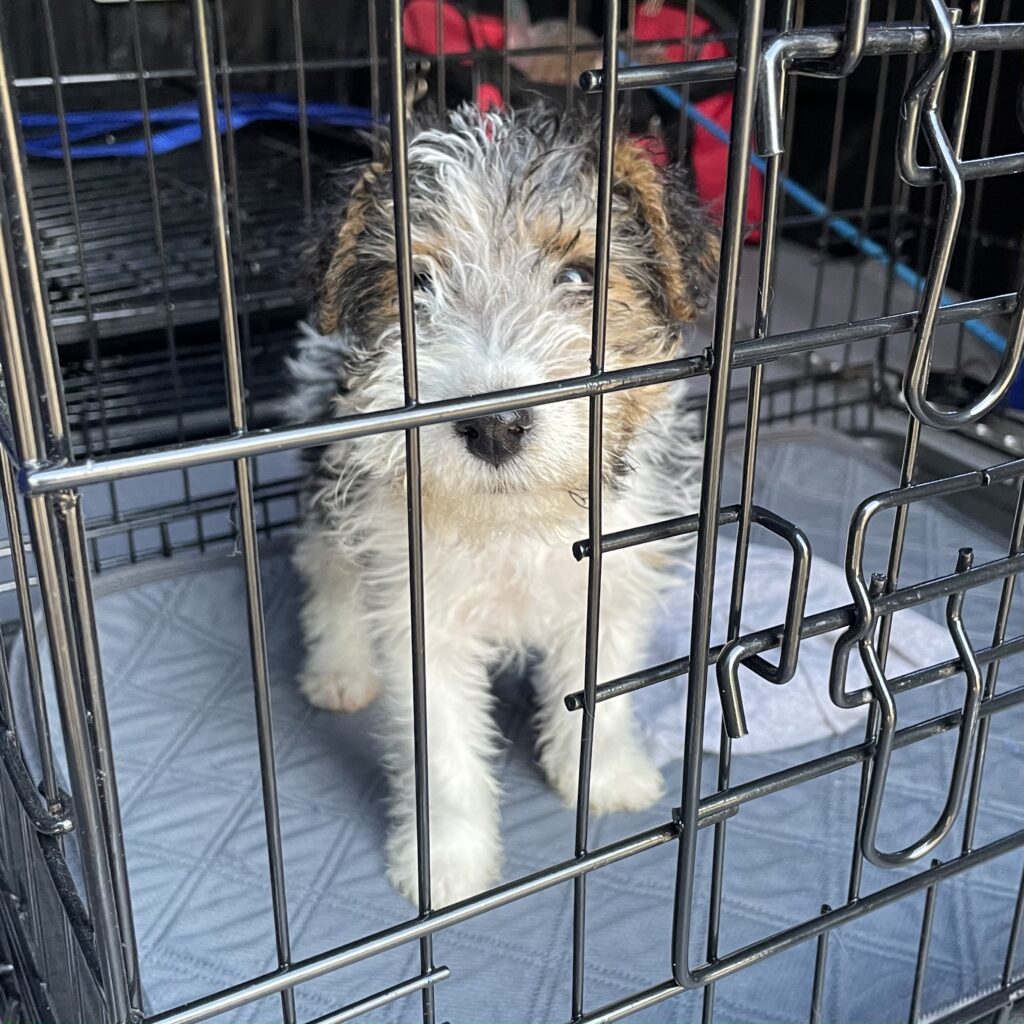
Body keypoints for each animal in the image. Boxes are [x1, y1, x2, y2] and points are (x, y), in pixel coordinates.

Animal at [287, 104, 717, 906]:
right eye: (417, 284)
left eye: (579, 275)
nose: (494, 425)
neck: (517, 521)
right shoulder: (422, 616)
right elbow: (445, 754)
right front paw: (448, 863)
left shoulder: (611, 581)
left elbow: (603, 694)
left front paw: (605, 778)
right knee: (326, 570)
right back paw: (339, 669)